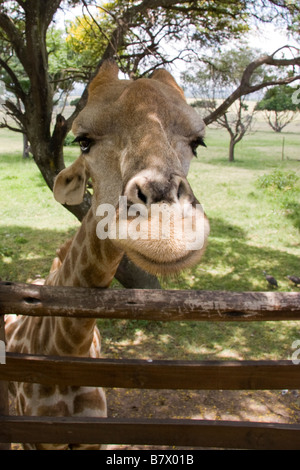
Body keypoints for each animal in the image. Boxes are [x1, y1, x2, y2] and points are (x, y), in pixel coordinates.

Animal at [5, 60, 210, 450]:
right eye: (83, 140)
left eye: (197, 142)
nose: (165, 232)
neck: (68, 348)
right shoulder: (36, 436)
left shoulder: (91, 434)